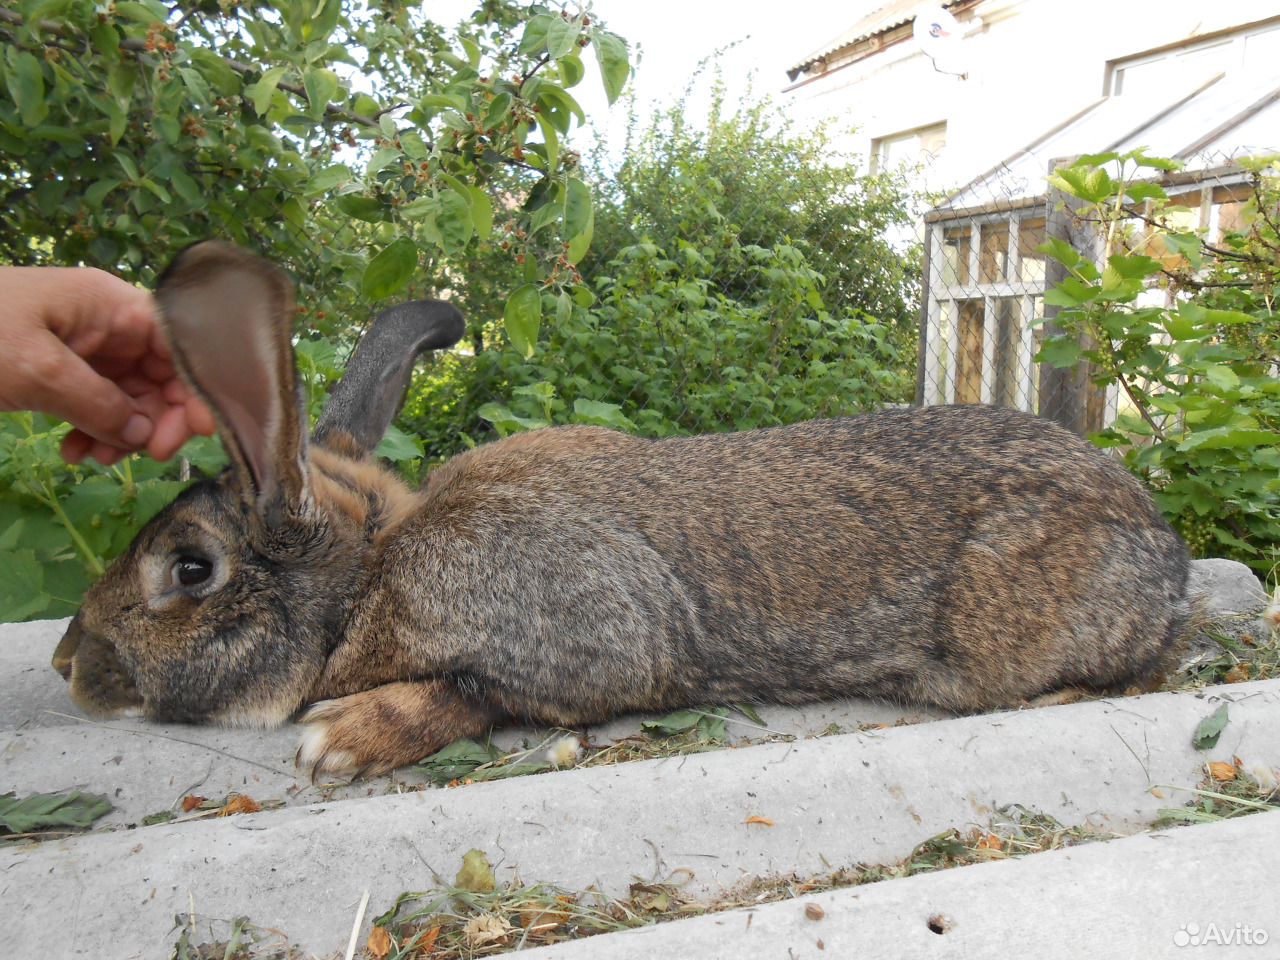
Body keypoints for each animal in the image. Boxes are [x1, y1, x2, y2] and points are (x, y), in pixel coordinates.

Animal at [47, 241, 1187, 783]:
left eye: (189, 569)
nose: (68, 664)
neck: (374, 561)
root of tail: (1159, 548)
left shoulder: (587, 638)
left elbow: (480, 691)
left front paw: (343, 740)